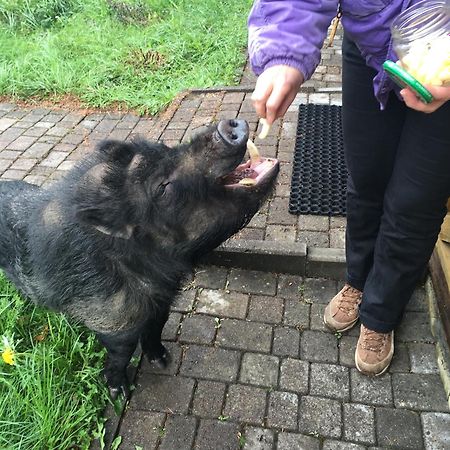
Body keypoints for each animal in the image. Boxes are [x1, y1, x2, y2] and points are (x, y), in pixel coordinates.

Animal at [0, 119, 278, 398]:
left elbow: (157, 328)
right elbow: (121, 353)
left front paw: (163, 360)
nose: (228, 125)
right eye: (162, 187)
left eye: (166, 148)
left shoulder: (163, 302)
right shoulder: (111, 319)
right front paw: (118, 392)